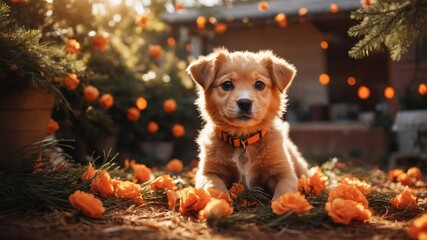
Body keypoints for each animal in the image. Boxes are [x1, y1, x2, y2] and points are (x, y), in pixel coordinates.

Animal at [186, 47, 308, 199]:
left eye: (259, 84)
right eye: (227, 84)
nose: (244, 103)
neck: (243, 140)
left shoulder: (285, 172)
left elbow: (284, 191)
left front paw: (280, 202)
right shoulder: (207, 172)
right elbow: (214, 186)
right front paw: (221, 201)